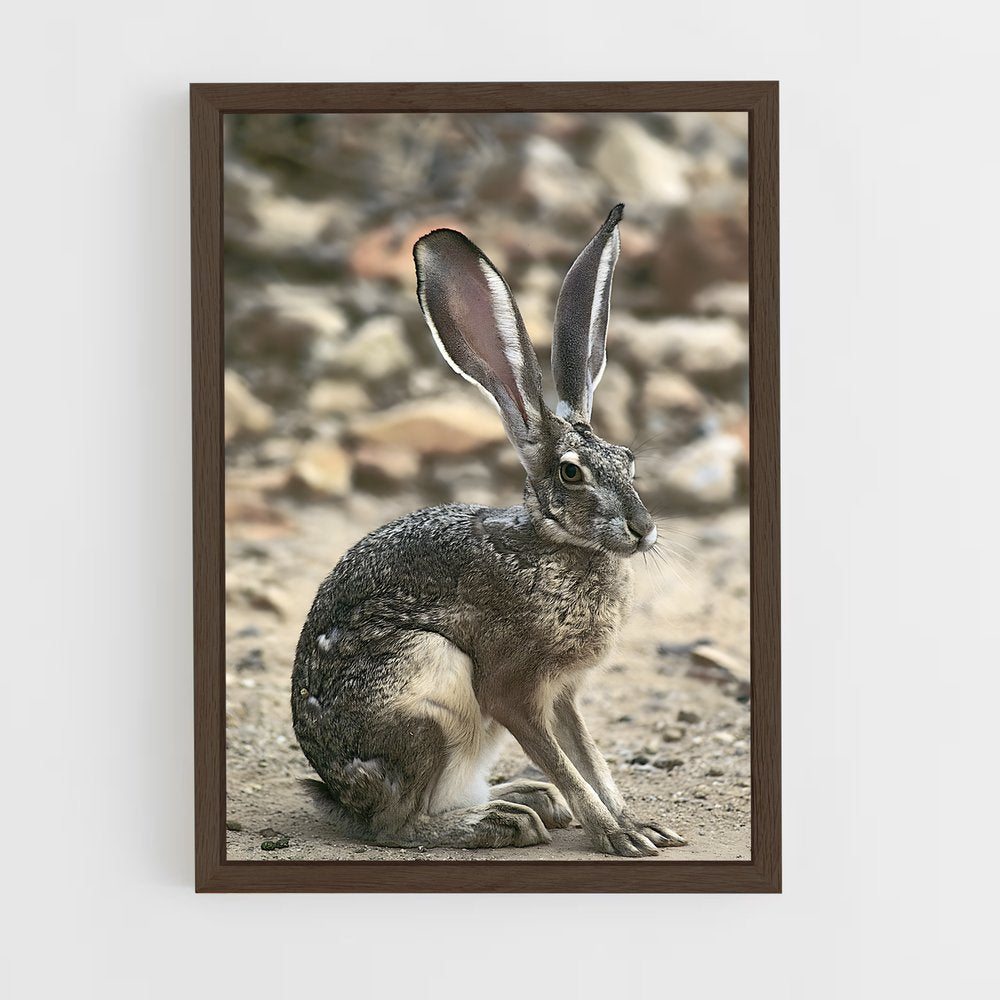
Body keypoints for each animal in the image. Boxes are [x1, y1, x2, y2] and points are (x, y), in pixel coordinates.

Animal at [291, 205, 687, 857]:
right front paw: (617, 835)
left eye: (627, 459)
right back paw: (500, 822)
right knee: (398, 824)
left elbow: (590, 759)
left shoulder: (563, 695)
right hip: (425, 687)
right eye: (571, 473)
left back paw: (526, 801)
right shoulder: (513, 689)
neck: (559, 545)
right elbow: (568, 765)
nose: (642, 529)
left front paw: (636, 824)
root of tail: (339, 795)